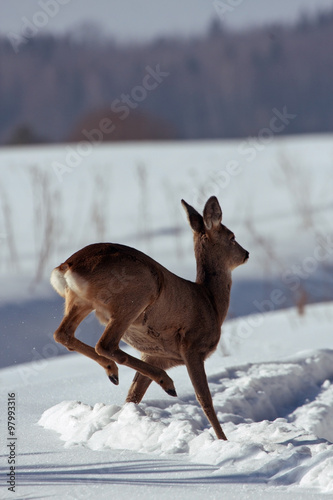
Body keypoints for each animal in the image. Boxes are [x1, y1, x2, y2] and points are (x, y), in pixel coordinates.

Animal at [50, 197, 248, 440]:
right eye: (232, 237)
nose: (246, 254)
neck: (210, 301)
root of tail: (66, 267)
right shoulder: (192, 347)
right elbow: (205, 399)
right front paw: (223, 440)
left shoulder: (154, 355)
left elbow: (134, 395)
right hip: (137, 295)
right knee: (105, 344)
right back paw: (164, 382)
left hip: (80, 301)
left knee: (62, 334)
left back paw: (116, 373)